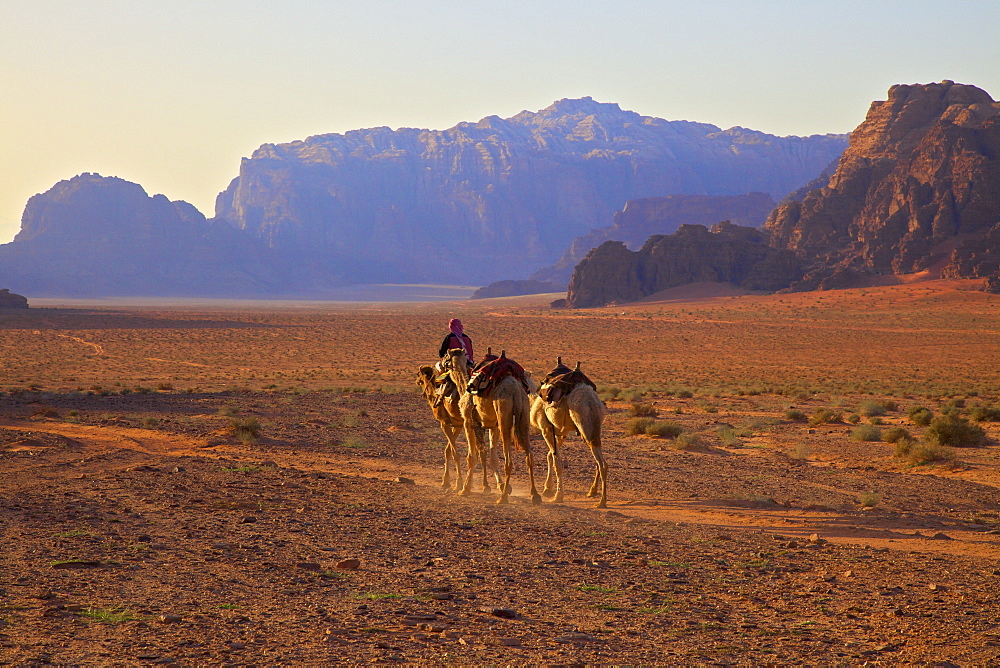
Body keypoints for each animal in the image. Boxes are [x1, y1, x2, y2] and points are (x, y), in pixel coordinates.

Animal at [444, 348, 540, 504]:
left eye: (446, 358)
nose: (440, 364)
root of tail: (515, 390)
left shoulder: (468, 421)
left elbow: (472, 457)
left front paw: (465, 489)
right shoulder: (491, 426)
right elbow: (491, 456)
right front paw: (497, 486)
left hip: (503, 413)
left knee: (509, 461)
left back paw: (503, 498)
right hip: (524, 414)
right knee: (529, 456)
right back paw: (535, 495)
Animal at [532, 360, 608, 506]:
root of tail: (590, 399)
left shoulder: (546, 428)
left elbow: (557, 461)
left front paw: (558, 496)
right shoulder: (562, 432)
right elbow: (550, 456)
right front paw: (547, 489)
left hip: (582, 420)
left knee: (602, 463)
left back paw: (601, 502)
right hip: (592, 428)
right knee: (600, 459)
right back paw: (593, 492)